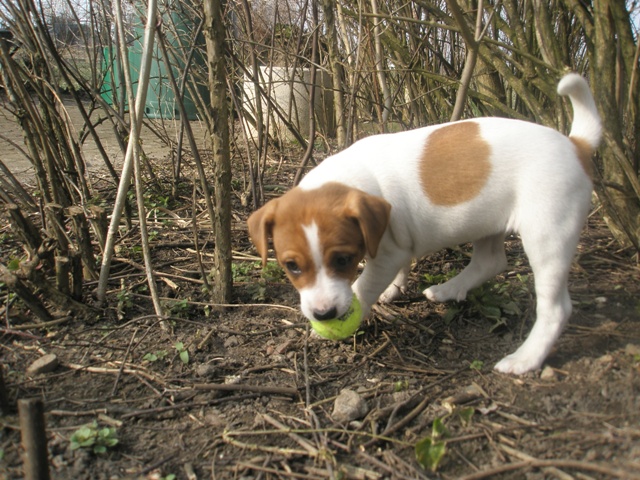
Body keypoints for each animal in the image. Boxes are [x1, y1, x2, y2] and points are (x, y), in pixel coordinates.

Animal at [248, 74, 604, 376]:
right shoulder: (396, 244)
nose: (324, 315)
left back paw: (526, 358)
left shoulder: (387, 253)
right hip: (487, 222)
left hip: (547, 234)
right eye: (292, 266)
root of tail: (575, 145)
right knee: (490, 262)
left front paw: (352, 313)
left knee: (555, 308)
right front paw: (393, 290)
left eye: (343, 260)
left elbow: (363, 286)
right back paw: (448, 289)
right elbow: (400, 268)